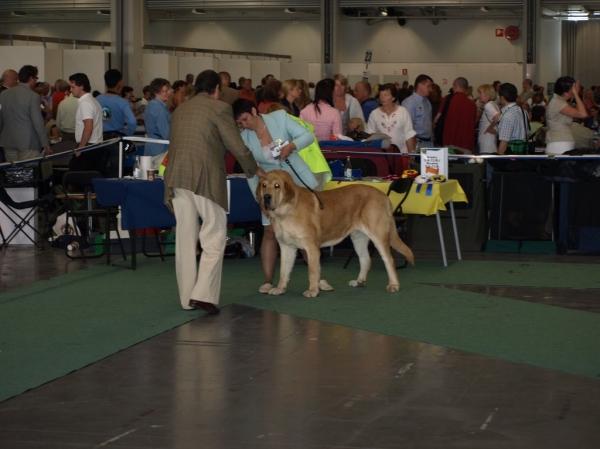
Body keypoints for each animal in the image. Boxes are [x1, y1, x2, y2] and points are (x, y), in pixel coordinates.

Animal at [255, 170, 414, 296]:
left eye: (277, 186)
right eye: (264, 185)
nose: (266, 197)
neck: (285, 212)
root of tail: (383, 196)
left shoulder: (311, 247)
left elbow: (312, 271)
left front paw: (312, 291)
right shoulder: (287, 247)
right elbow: (284, 271)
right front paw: (279, 289)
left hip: (379, 235)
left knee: (389, 260)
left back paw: (394, 285)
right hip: (358, 237)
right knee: (365, 259)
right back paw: (359, 281)